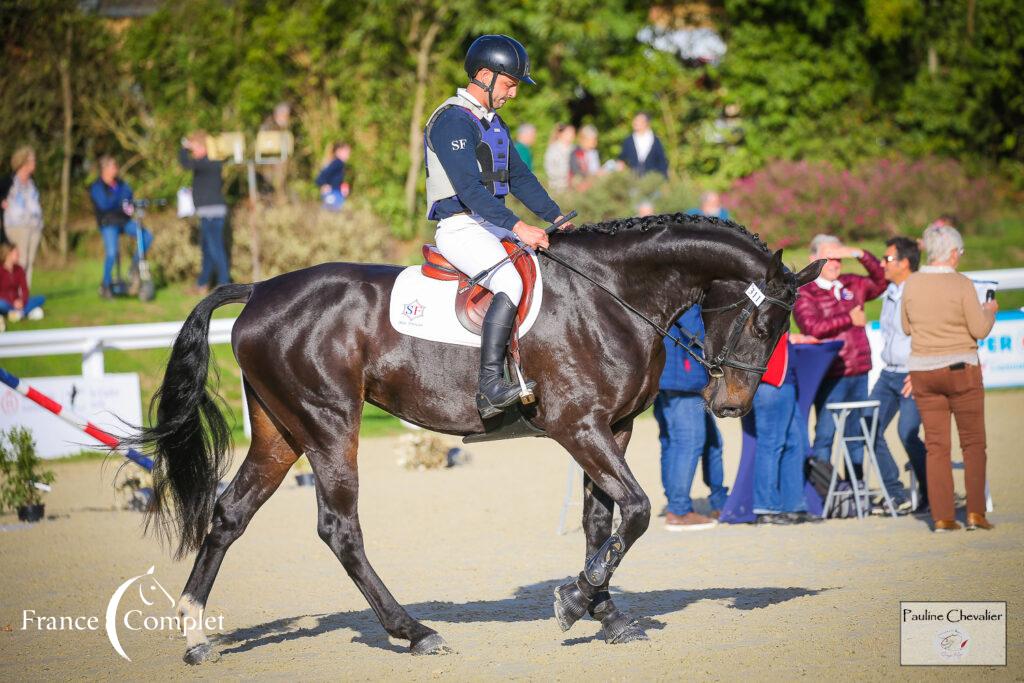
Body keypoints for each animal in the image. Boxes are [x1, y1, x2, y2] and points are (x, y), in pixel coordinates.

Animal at [136, 214, 823, 663]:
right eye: (763, 324)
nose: (730, 405)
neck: (612, 294)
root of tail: (259, 290)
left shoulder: (616, 428)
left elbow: (604, 521)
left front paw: (602, 610)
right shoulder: (577, 425)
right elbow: (637, 509)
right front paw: (575, 600)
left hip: (282, 432)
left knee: (230, 513)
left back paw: (195, 634)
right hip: (329, 424)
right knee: (339, 528)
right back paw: (414, 632)